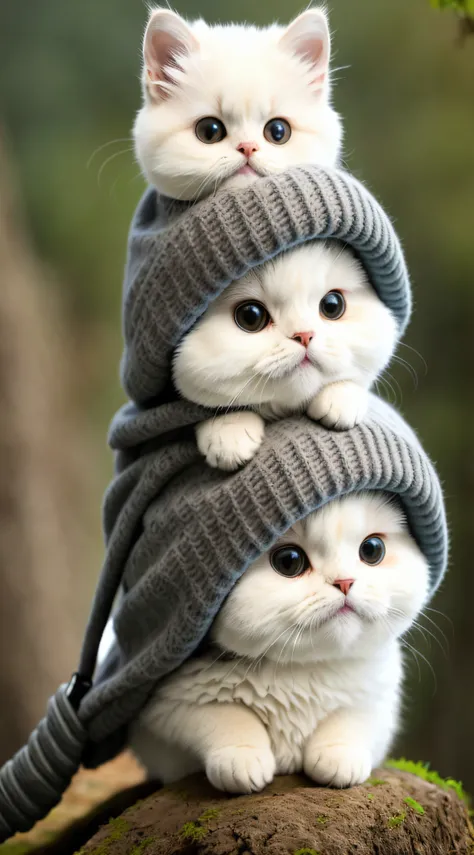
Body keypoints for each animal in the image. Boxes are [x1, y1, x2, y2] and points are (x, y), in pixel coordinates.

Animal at [130, 492, 430, 792]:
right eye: (289, 561)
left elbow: (350, 720)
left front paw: (339, 756)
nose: (345, 582)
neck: (301, 670)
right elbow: (225, 715)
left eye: (371, 550)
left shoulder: (379, 698)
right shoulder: (168, 705)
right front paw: (241, 757)